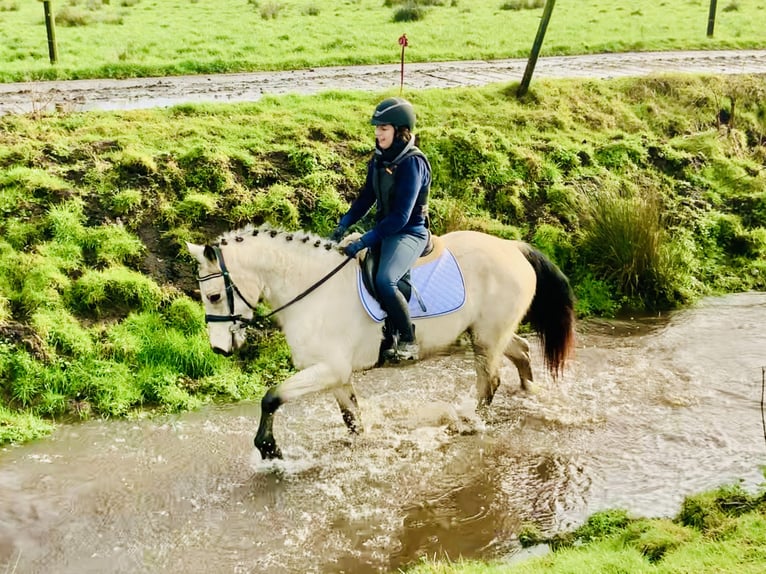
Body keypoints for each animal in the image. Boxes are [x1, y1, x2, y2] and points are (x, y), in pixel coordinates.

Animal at [189, 227, 576, 462]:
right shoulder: (337, 376)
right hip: (487, 332)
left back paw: (471, 421)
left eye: (213, 295)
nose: (219, 349)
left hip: (486, 336)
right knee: (521, 351)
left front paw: (268, 449)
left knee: (490, 381)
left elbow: (271, 397)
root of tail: (513, 247)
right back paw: (529, 393)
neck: (311, 291)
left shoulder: (328, 369)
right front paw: (362, 444)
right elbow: (352, 419)